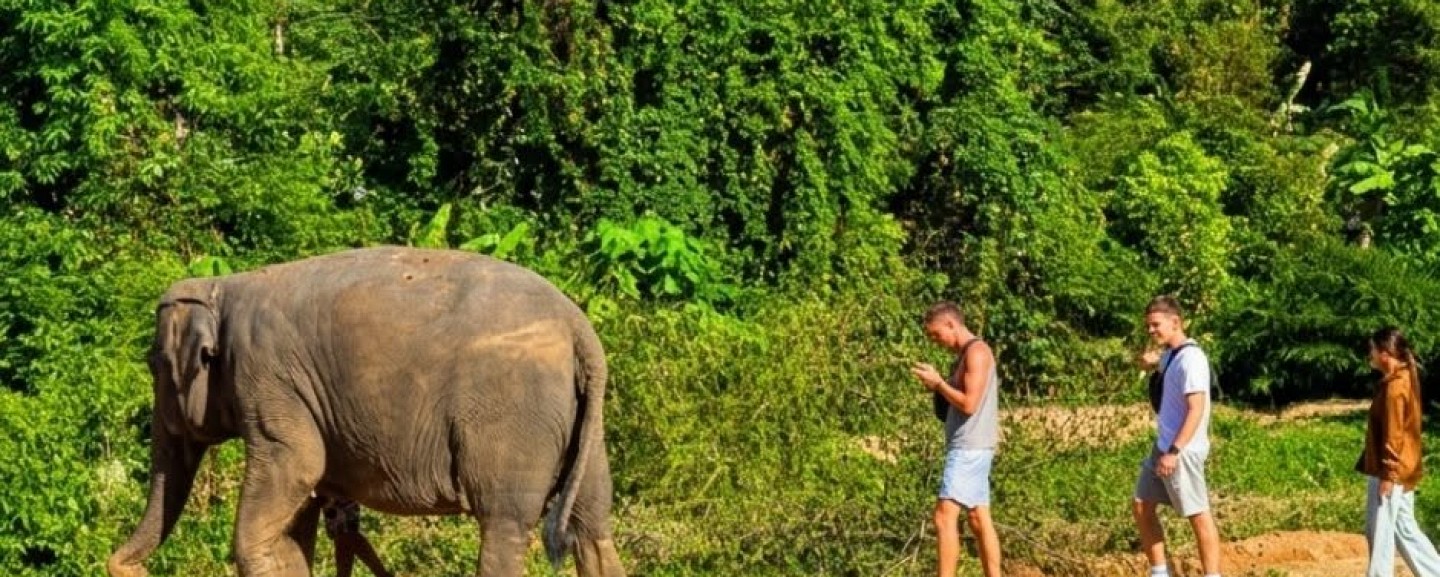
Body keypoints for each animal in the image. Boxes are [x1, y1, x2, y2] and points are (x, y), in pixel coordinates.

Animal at [107, 246, 625, 577]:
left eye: (153, 364)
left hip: (512, 423)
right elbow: (299, 516)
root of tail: (580, 330)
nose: (124, 566)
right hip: (584, 428)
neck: (223, 286)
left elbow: (297, 467)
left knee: (504, 527)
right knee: (592, 528)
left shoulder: (266, 376)